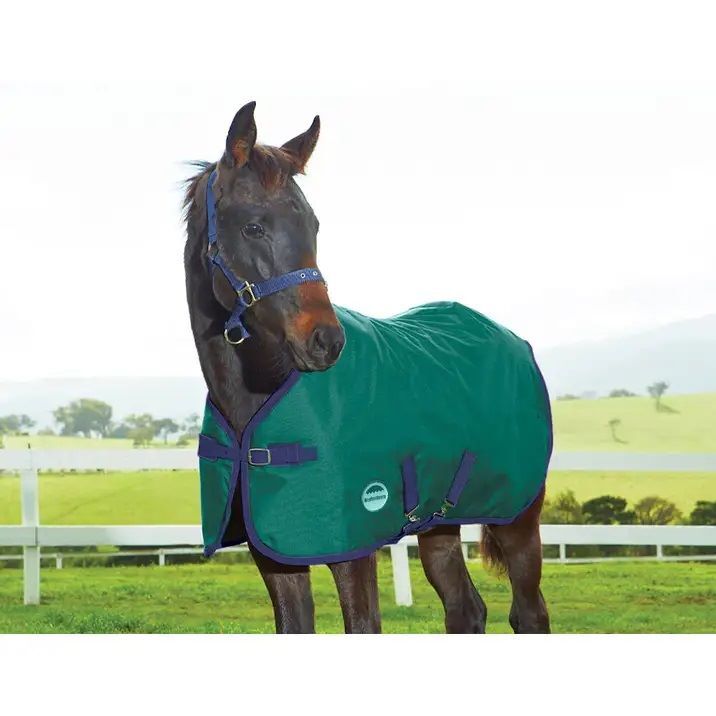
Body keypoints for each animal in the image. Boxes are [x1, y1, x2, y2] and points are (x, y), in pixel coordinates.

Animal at [183, 101, 550, 633]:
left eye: (314, 225)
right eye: (253, 226)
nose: (326, 341)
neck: (258, 397)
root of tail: (512, 339)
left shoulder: (352, 551)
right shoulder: (275, 555)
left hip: (519, 516)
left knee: (528, 611)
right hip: (439, 523)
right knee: (466, 608)